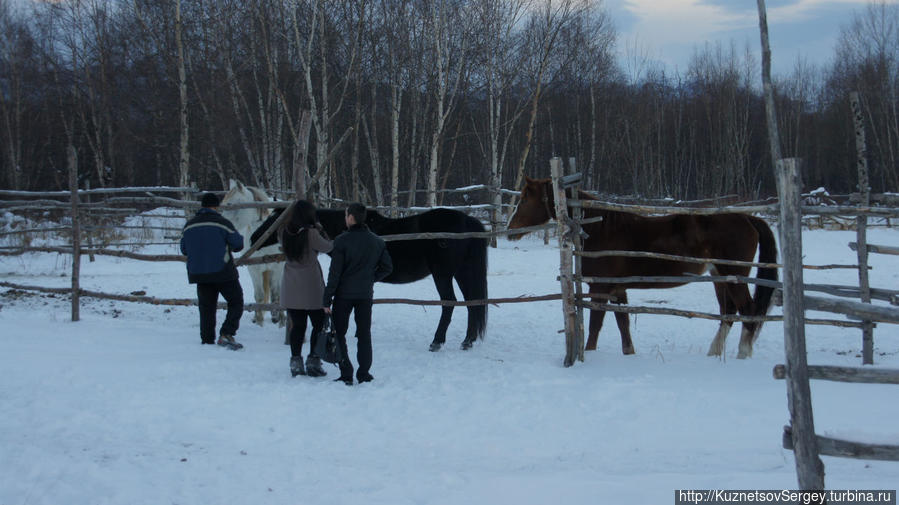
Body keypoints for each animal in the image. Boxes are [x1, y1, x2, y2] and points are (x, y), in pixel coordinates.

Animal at [221, 177, 284, 326]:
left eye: (231, 205)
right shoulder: (254, 269)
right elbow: (259, 296)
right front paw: (259, 320)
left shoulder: (277, 267)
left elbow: (275, 295)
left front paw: (277, 318)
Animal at [253, 205, 488, 350]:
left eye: (276, 219)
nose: (255, 237)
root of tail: (468, 221)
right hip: (462, 272)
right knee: (472, 303)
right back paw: (468, 341)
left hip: (443, 274)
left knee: (450, 303)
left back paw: (437, 341)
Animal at [510, 177, 776, 358]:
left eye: (524, 199)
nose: (511, 229)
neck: (598, 229)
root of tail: (749, 218)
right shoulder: (617, 289)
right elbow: (623, 324)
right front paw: (629, 354)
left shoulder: (601, 287)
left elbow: (596, 325)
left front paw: (590, 354)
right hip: (719, 277)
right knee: (728, 313)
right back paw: (714, 353)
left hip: (734, 276)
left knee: (748, 311)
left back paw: (742, 355)